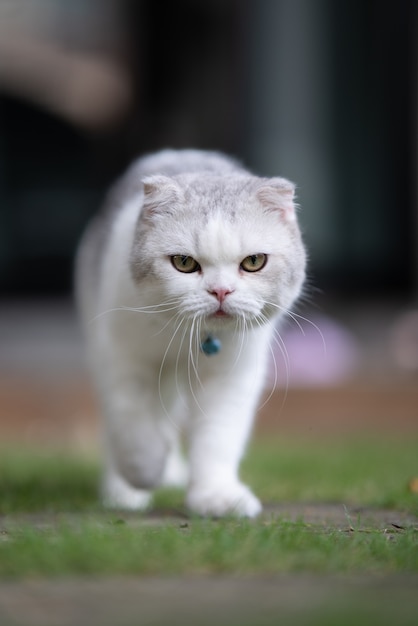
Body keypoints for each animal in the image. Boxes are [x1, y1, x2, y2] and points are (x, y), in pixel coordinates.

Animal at [75, 149, 306, 516]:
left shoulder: (231, 377)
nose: (221, 291)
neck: (193, 339)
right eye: (184, 263)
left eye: (254, 262)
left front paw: (216, 497)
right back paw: (124, 493)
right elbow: (132, 424)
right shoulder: (124, 360)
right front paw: (144, 474)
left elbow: (217, 438)